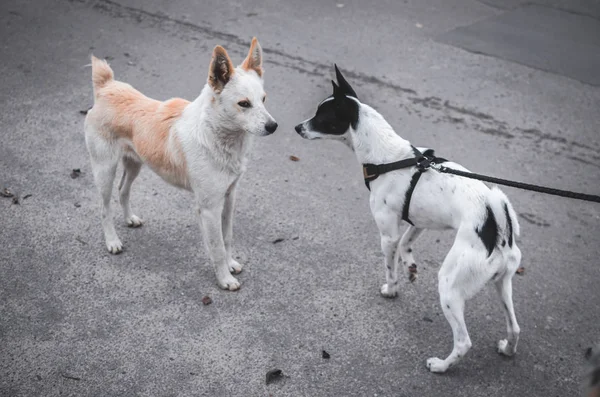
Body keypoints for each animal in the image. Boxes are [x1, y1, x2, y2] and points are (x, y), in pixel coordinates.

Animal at [84, 38, 276, 290]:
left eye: (263, 99)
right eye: (244, 104)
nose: (273, 126)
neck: (213, 134)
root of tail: (107, 87)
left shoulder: (229, 198)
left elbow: (226, 238)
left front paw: (231, 263)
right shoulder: (209, 208)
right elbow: (216, 247)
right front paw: (225, 279)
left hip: (135, 164)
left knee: (123, 190)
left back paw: (129, 219)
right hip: (105, 170)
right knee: (104, 208)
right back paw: (112, 241)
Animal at [298, 65, 524, 372]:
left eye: (322, 117)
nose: (298, 127)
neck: (387, 157)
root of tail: (495, 220)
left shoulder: (387, 234)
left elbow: (389, 267)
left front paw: (391, 289)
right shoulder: (418, 222)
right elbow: (406, 243)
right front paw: (411, 267)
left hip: (450, 287)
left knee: (463, 342)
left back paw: (441, 366)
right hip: (503, 284)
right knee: (514, 328)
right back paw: (507, 349)